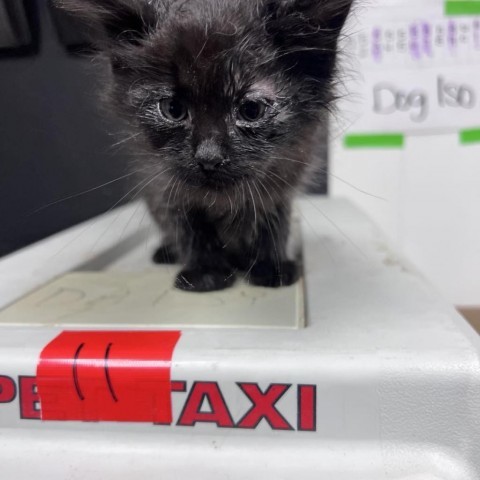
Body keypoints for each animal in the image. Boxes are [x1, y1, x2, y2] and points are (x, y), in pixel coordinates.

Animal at [56, 0, 352, 292]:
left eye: (251, 110)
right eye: (173, 109)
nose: (209, 157)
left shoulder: (282, 182)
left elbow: (272, 223)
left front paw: (269, 265)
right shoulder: (164, 185)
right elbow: (190, 227)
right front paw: (205, 273)